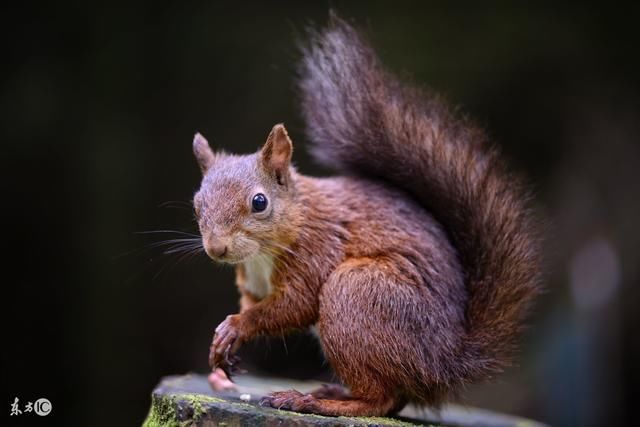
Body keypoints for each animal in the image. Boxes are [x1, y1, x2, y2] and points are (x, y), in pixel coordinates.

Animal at [190, 15, 540, 418]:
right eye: (196, 204)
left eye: (259, 202)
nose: (217, 249)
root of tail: (445, 363)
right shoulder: (252, 282)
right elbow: (253, 302)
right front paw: (224, 342)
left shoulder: (316, 251)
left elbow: (294, 305)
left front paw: (238, 325)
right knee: (393, 398)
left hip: (355, 293)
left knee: (379, 399)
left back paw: (313, 400)